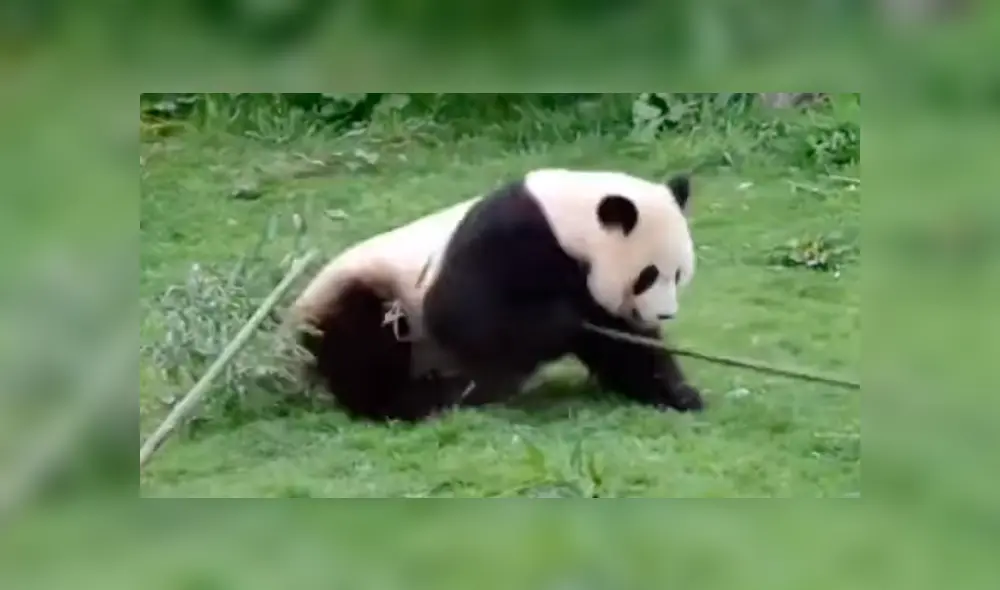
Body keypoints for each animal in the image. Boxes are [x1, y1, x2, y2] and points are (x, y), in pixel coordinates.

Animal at [420, 167, 705, 413]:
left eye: (678, 274)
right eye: (648, 275)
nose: (665, 315)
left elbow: (628, 345)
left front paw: (680, 395)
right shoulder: (504, 242)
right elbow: (467, 317)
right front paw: (563, 319)